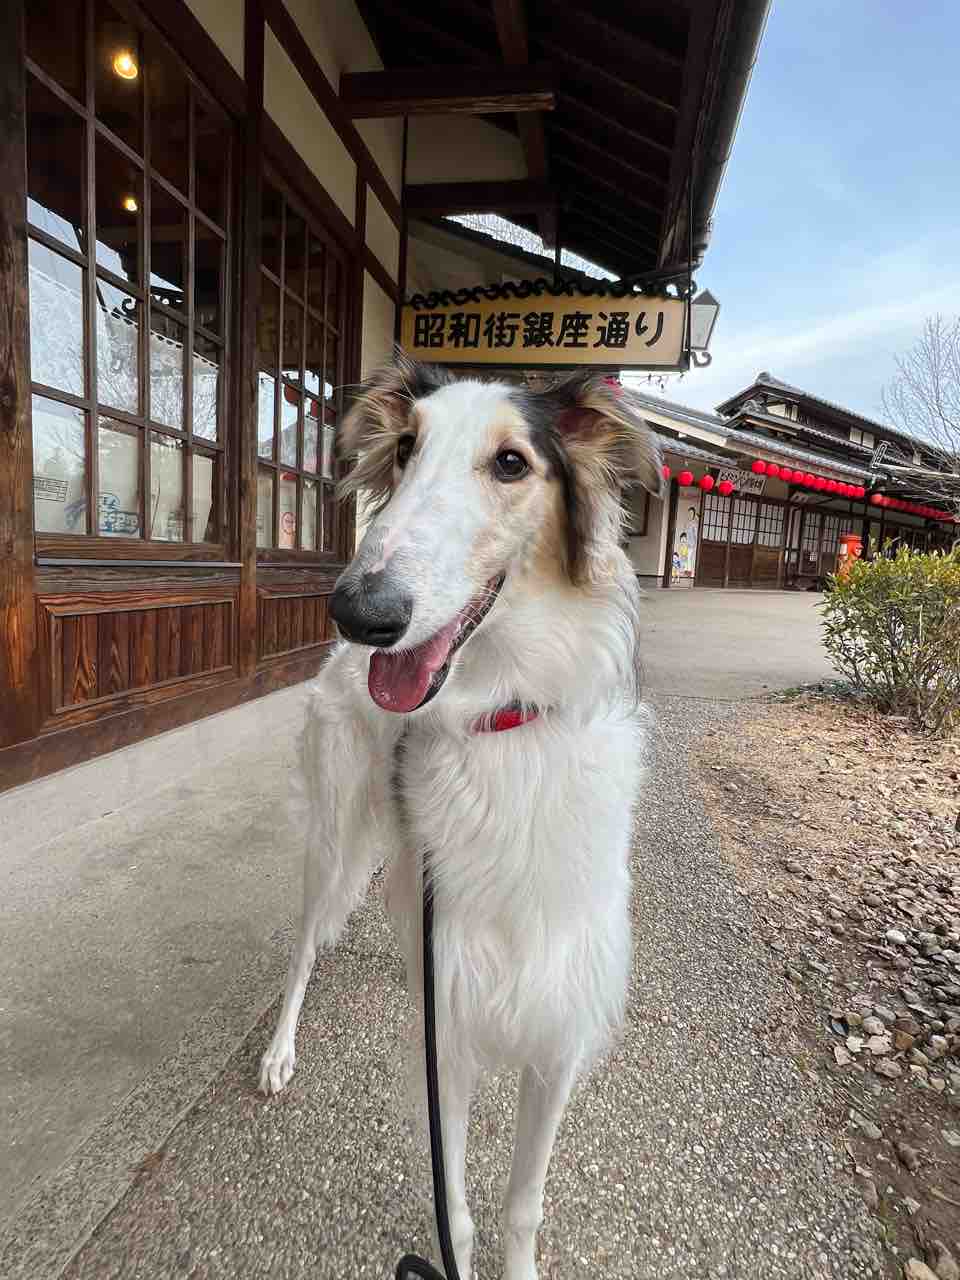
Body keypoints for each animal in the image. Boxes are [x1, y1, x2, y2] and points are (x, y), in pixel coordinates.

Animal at [260, 354, 662, 1280]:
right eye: (406, 449)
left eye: (512, 463)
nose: (360, 611)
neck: (499, 722)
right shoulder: (447, 1043)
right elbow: (461, 1214)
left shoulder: (555, 1036)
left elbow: (522, 1207)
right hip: (334, 839)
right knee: (303, 950)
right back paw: (279, 1051)